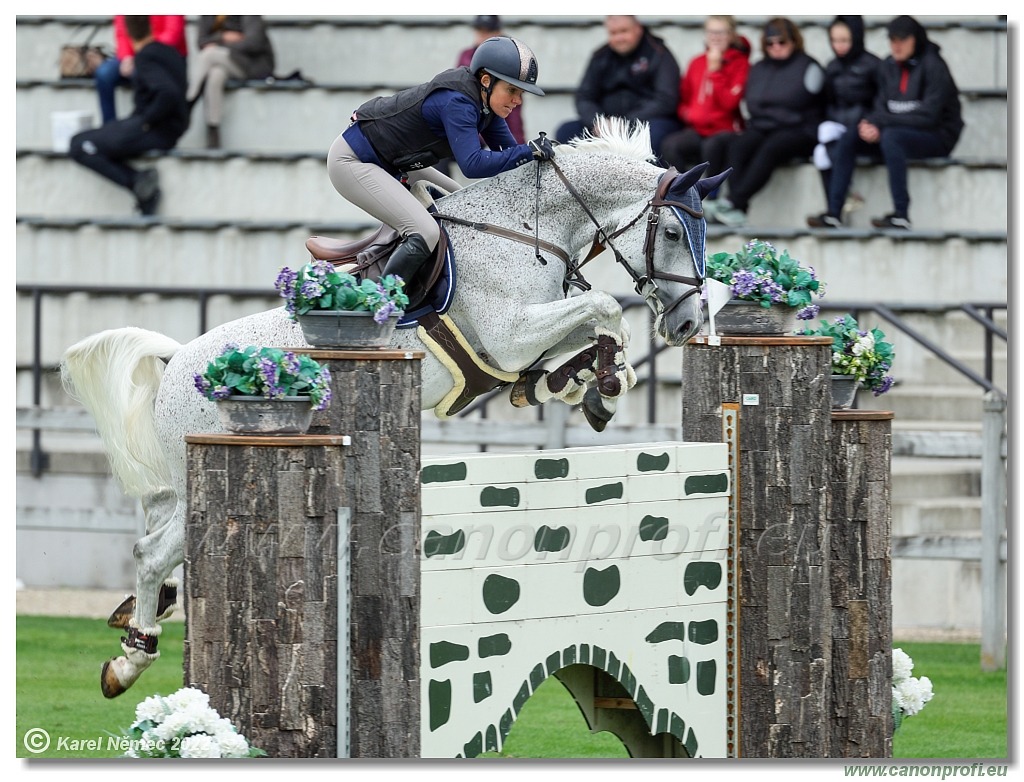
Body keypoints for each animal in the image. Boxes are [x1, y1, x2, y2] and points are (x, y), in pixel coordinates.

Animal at [59, 116, 729, 696]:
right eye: (673, 233)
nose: (689, 324)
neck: (528, 230)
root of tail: (176, 362)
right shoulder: (509, 334)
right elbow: (608, 311)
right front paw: (598, 384)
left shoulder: (527, 339)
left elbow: (590, 338)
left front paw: (587, 386)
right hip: (197, 470)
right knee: (152, 551)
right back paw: (130, 659)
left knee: (157, 535)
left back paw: (137, 621)